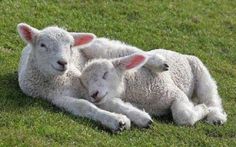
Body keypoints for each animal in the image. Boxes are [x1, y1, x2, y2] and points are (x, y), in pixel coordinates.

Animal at [80, 50, 228, 126]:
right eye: (85, 84)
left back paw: (215, 117)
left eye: (105, 74)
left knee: (211, 97)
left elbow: (183, 116)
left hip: (200, 72)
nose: (93, 94)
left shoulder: (175, 93)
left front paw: (202, 109)